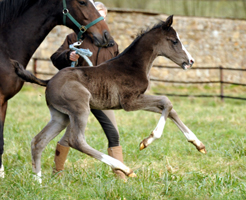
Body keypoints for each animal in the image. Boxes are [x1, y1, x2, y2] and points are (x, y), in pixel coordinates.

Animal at [14, 14, 207, 180]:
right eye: (174, 41)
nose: (190, 61)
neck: (132, 65)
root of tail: (48, 81)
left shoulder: (138, 99)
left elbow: (169, 108)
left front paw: (198, 144)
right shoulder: (130, 102)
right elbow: (166, 101)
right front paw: (148, 140)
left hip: (60, 116)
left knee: (39, 141)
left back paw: (38, 181)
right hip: (80, 108)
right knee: (76, 141)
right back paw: (125, 169)